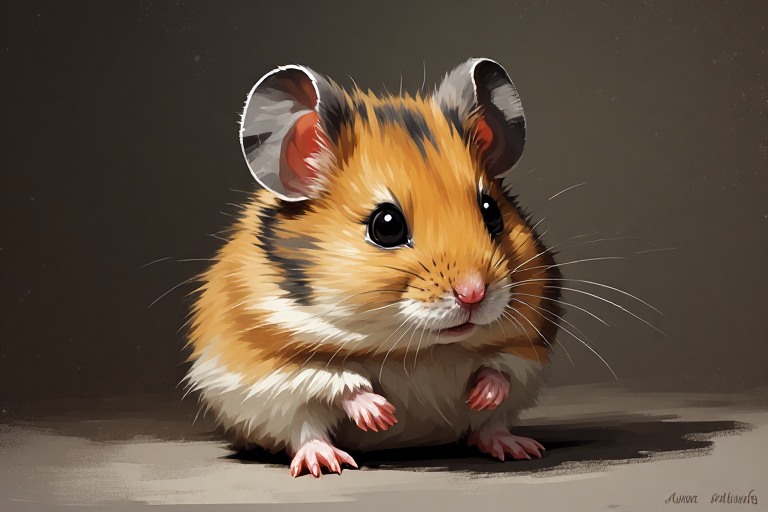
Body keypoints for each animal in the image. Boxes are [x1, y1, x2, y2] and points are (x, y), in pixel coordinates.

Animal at [184, 58, 562, 477]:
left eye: (492, 212)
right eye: (386, 226)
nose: (473, 293)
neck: (418, 348)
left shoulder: (527, 347)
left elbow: (501, 369)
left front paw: (483, 395)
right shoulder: (270, 363)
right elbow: (338, 381)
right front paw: (382, 416)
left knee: (489, 429)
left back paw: (519, 447)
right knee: (305, 432)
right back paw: (326, 463)